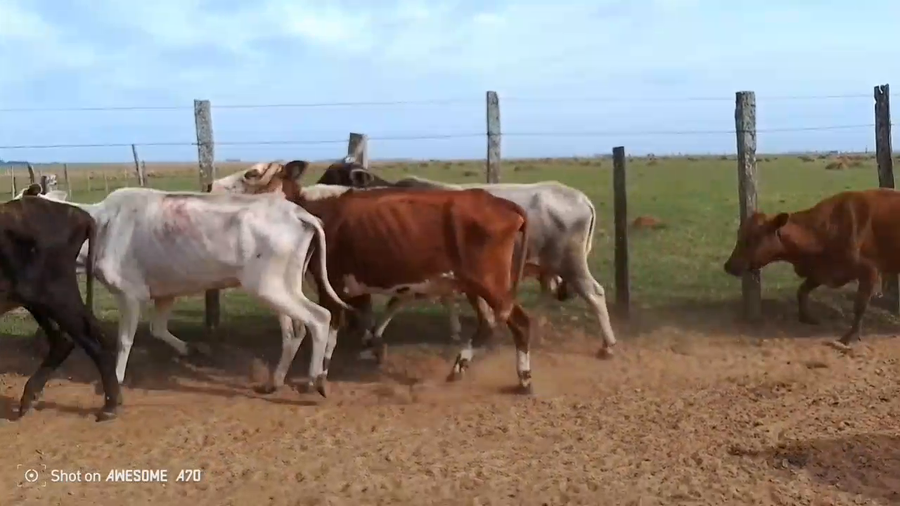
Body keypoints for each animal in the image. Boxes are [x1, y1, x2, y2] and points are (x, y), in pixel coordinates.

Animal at [0, 192, 121, 421]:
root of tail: (79, 214)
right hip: (38, 301)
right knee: (64, 340)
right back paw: (29, 397)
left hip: (57, 296)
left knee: (92, 343)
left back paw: (111, 405)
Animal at [14, 183, 352, 396]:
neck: (100, 224)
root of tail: (298, 213)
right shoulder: (165, 293)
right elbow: (158, 329)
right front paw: (192, 349)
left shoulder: (130, 294)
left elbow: (124, 341)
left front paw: (117, 378)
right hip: (282, 287)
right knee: (295, 331)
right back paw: (275, 382)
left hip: (268, 287)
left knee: (320, 318)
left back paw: (315, 381)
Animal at [211, 161, 538, 393]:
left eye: (251, 173)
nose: (213, 186)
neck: (316, 209)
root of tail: (504, 205)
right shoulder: (352, 287)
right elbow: (362, 320)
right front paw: (373, 347)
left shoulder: (331, 283)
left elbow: (331, 325)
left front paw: (320, 375)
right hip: (475, 286)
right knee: (488, 324)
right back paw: (459, 368)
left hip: (490, 283)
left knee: (519, 323)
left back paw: (523, 379)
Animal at [313, 160, 617, 358]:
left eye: (334, 175)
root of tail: (580, 198)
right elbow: (437, 299)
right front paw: (458, 330)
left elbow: (400, 301)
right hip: (549, 266)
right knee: (548, 294)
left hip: (571, 264)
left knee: (595, 294)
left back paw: (608, 345)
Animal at [723, 188, 900, 347]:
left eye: (752, 237)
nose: (728, 265)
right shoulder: (820, 272)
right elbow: (801, 291)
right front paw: (807, 318)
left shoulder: (869, 271)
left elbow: (859, 306)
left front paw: (849, 337)